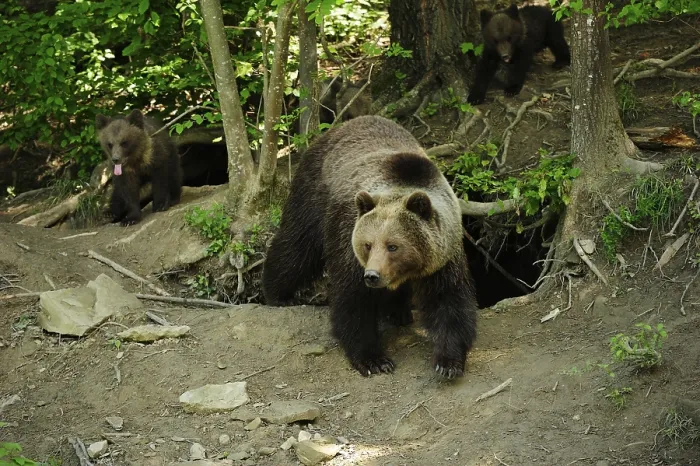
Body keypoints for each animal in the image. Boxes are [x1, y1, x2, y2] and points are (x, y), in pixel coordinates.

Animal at [262, 115, 477, 379]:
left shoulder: (443, 256)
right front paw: (374, 359)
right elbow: (353, 300)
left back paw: (398, 312)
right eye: (367, 244)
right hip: (314, 192)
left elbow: (448, 301)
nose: (372, 275)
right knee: (297, 245)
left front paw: (448, 363)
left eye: (393, 246)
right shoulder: (348, 238)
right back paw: (277, 294)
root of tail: (340, 126)